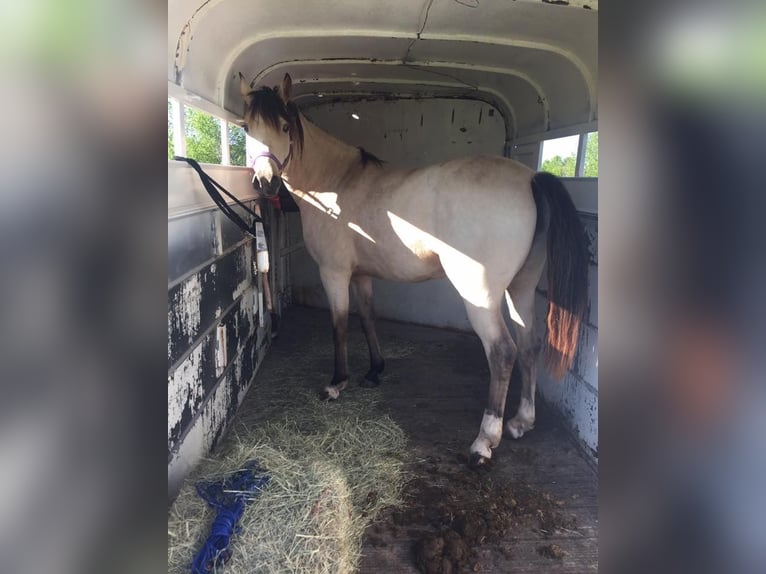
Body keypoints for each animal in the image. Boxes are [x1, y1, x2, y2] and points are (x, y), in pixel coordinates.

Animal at [240, 72, 589, 468]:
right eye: (247, 128)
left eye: (284, 126)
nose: (264, 182)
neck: (336, 184)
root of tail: (530, 178)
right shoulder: (361, 275)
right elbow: (368, 318)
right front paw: (374, 371)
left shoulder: (334, 273)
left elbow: (339, 324)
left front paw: (336, 383)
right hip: (522, 288)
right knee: (529, 345)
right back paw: (521, 422)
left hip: (480, 296)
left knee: (502, 352)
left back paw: (485, 440)